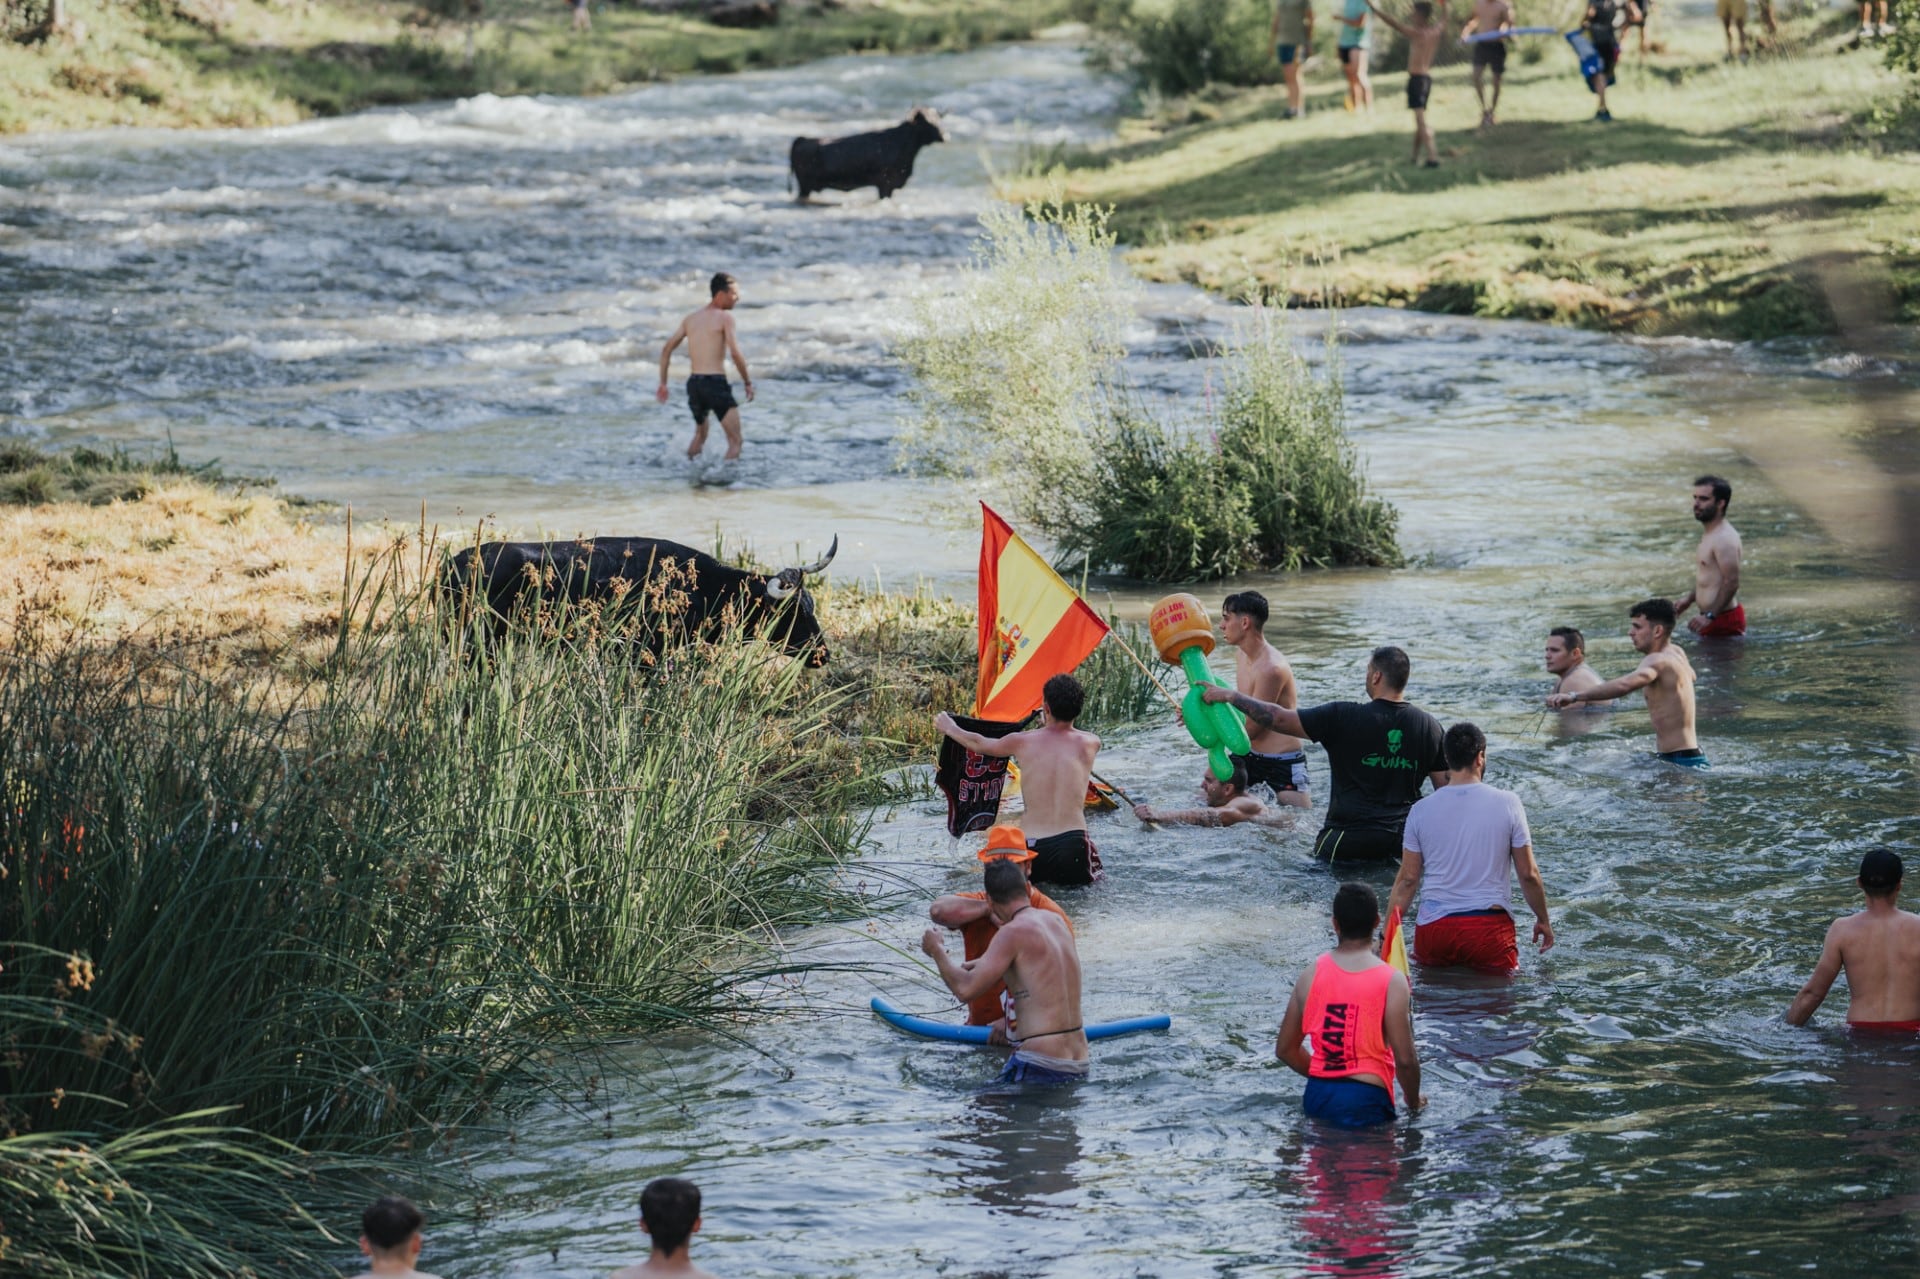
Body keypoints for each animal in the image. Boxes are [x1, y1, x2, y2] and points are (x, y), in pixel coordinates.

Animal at [787, 105, 944, 200]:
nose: (944, 135)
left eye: (938, 119)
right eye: (926, 122)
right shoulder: (885, 184)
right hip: (805, 186)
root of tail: (802, 138)